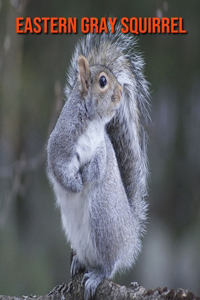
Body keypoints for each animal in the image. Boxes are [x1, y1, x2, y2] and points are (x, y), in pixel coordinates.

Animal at [47, 25, 150, 300]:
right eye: (103, 81)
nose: (120, 92)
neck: (92, 122)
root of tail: (130, 238)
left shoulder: (103, 150)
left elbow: (98, 168)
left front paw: (85, 176)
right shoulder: (59, 144)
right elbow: (58, 168)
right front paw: (73, 183)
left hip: (102, 220)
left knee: (109, 264)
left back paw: (96, 275)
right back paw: (79, 263)